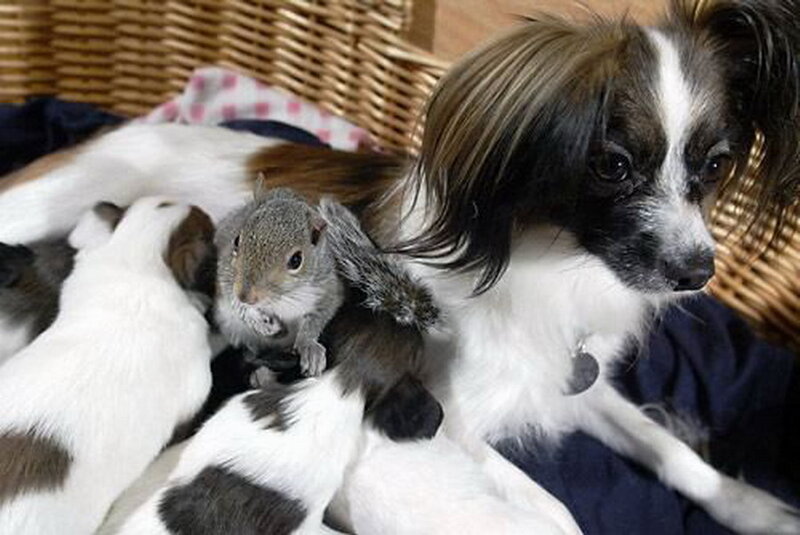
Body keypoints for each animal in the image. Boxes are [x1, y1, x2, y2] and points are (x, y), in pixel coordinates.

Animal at [215, 187, 342, 377]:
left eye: (296, 260)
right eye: (237, 240)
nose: (245, 296)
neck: (281, 297)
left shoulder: (327, 287)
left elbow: (318, 316)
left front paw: (309, 347)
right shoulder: (226, 274)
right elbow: (234, 301)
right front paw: (261, 322)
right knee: (249, 353)